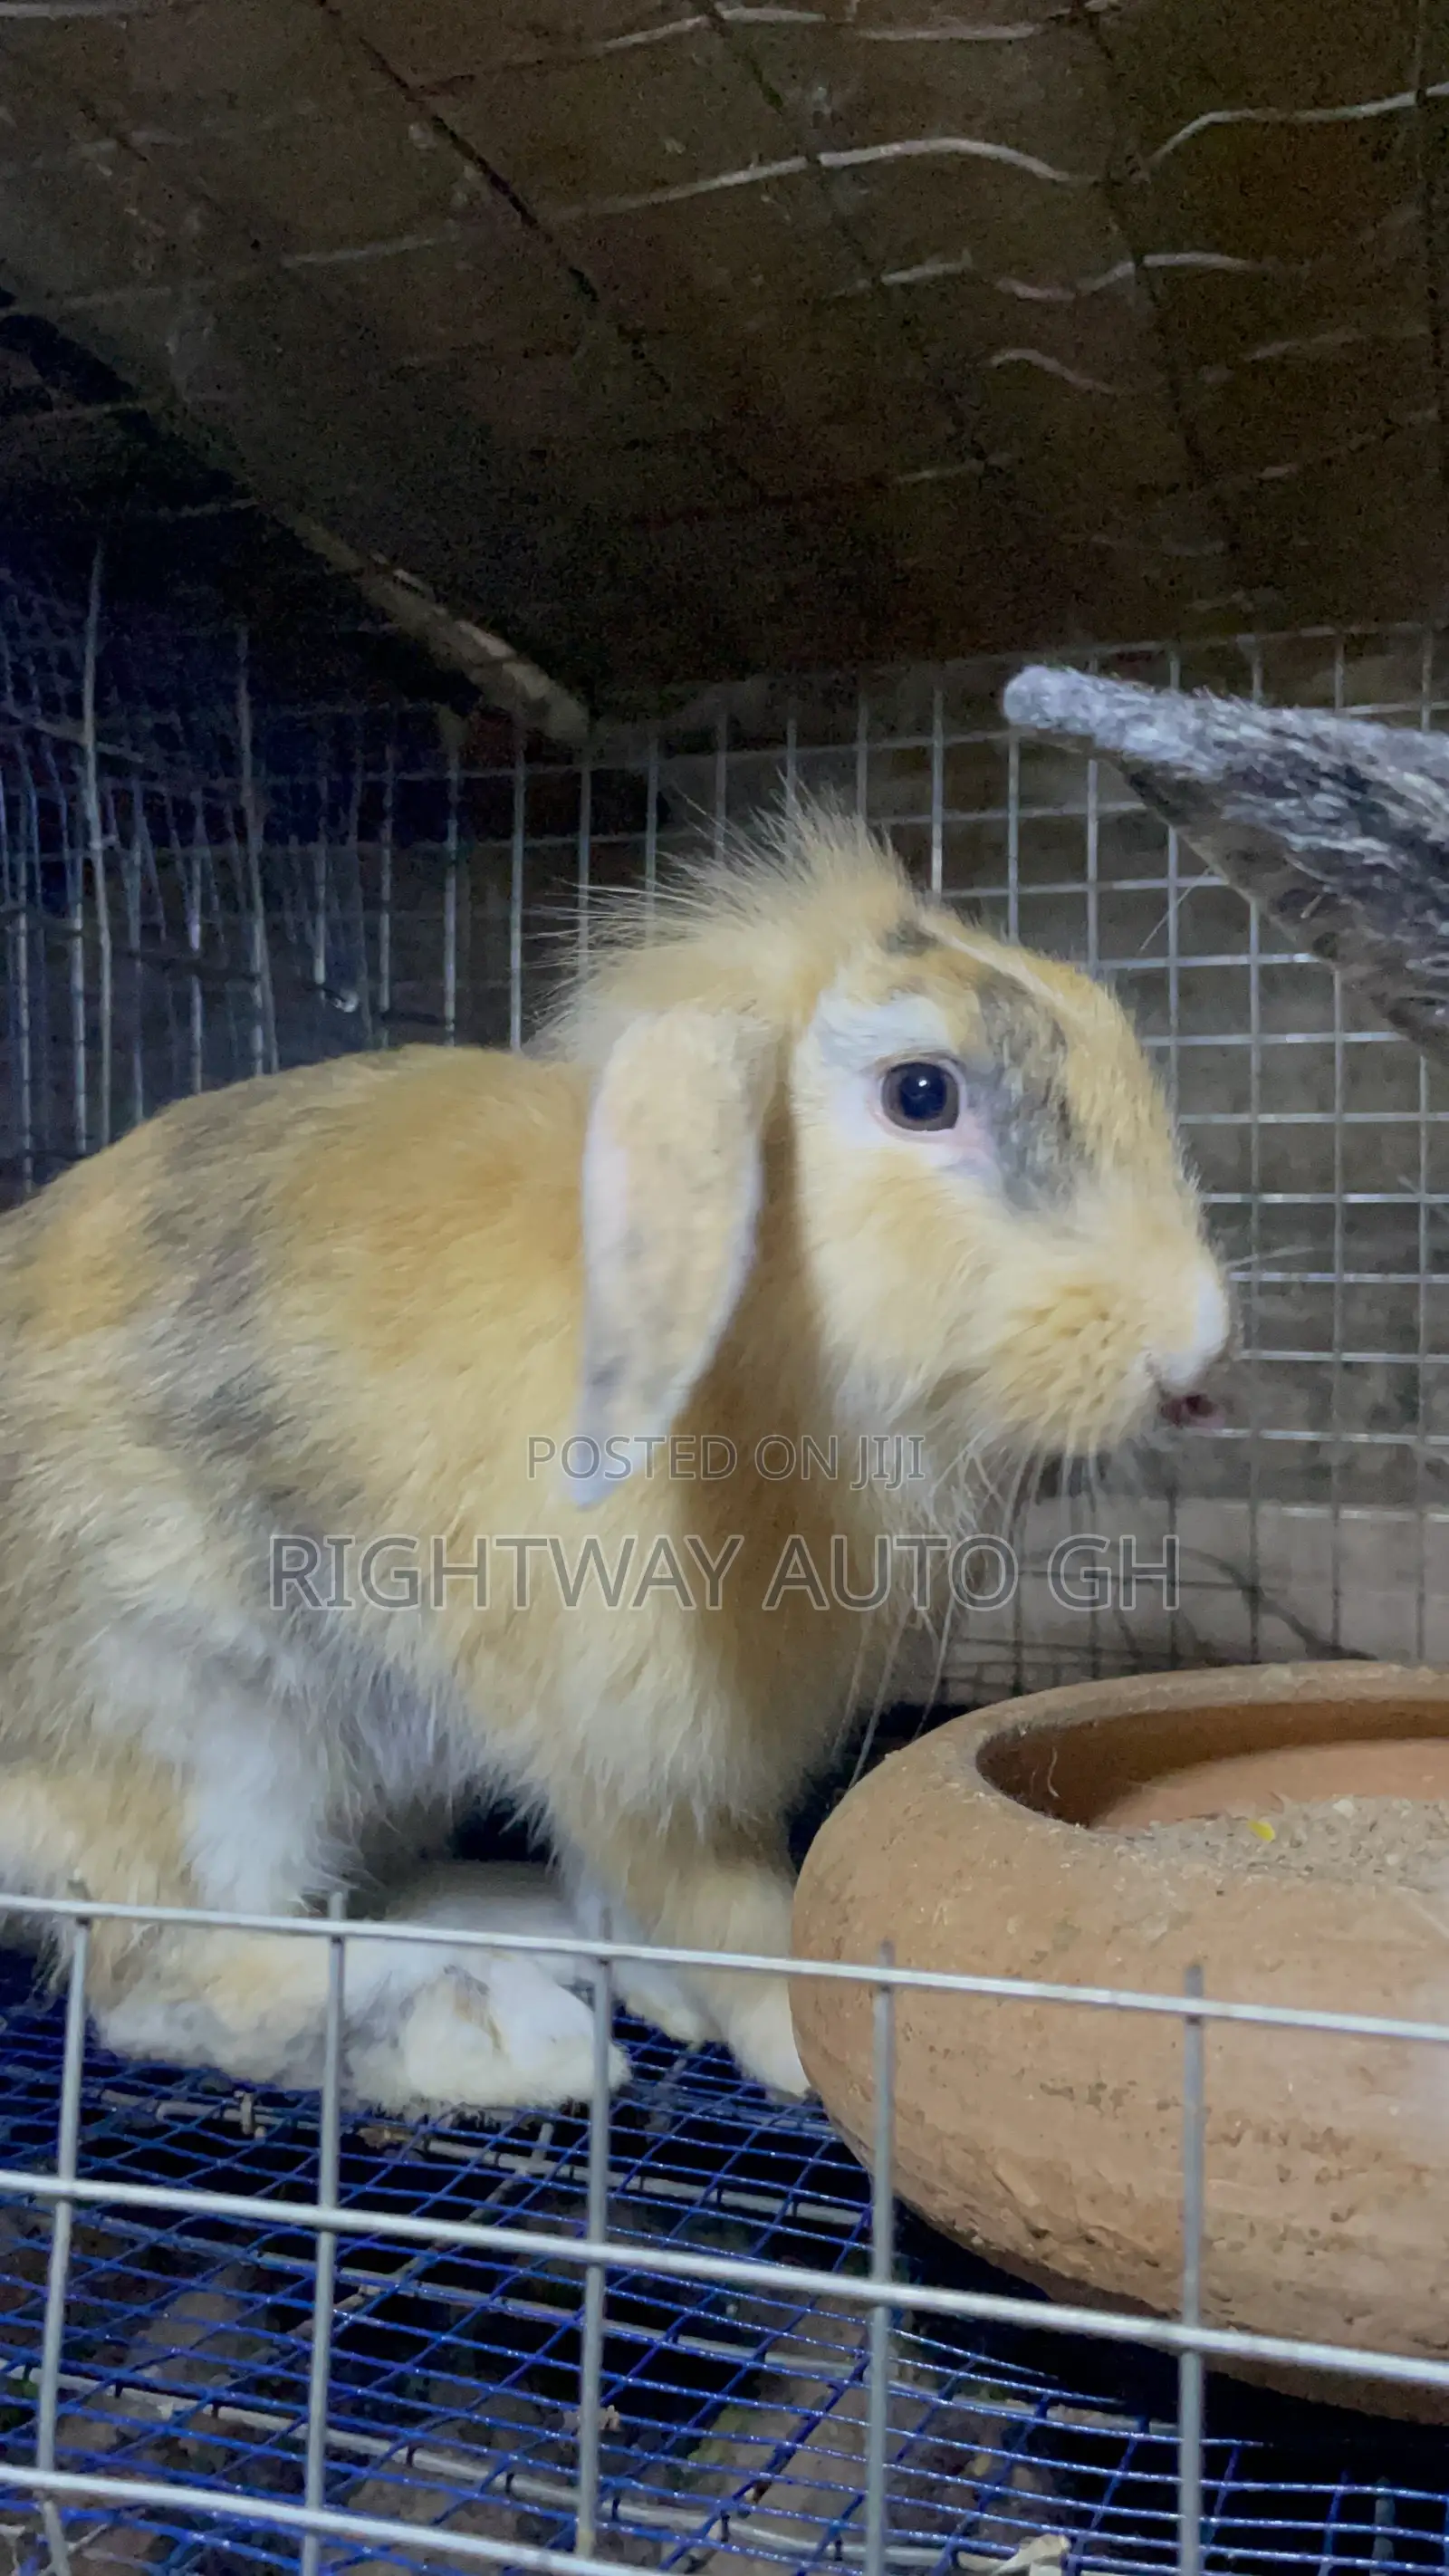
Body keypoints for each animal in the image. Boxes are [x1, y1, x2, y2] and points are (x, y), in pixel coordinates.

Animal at [0, 796, 1230, 2117]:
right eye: (919, 1093)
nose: (1197, 1346)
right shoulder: (639, 1747)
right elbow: (726, 1911)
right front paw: (799, 2045)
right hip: (195, 1728)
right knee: (169, 1967)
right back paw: (504, 2034)